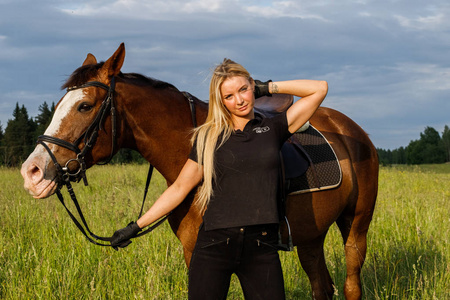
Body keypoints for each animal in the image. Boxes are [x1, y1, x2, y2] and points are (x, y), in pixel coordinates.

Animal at [22, 43, 380, 298]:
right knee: (322, 286)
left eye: (84, 106)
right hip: (311, 236)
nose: (33, 172)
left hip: (355, 227)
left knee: (350, 285)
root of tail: (351, 129)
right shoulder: (192, 250)